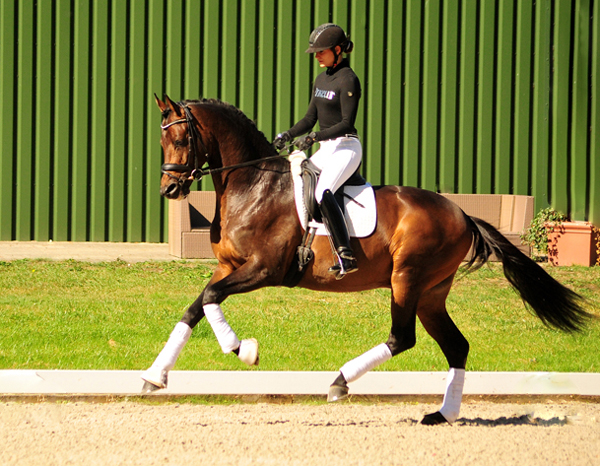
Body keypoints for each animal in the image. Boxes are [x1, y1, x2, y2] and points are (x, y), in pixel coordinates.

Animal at [143, 94, 592, 426]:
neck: (252, 184)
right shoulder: (229, 267)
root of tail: (462, 214)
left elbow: (210, 299)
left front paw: (244, 350)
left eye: (181, 140)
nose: (169, 190)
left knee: (403, 338)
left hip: (407, 279)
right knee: (455, 345)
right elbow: (197, 307)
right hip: (431, 293)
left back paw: (340, 381)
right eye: (162, 142)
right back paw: (442, 414)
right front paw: (154, 376)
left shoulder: (264, 269)